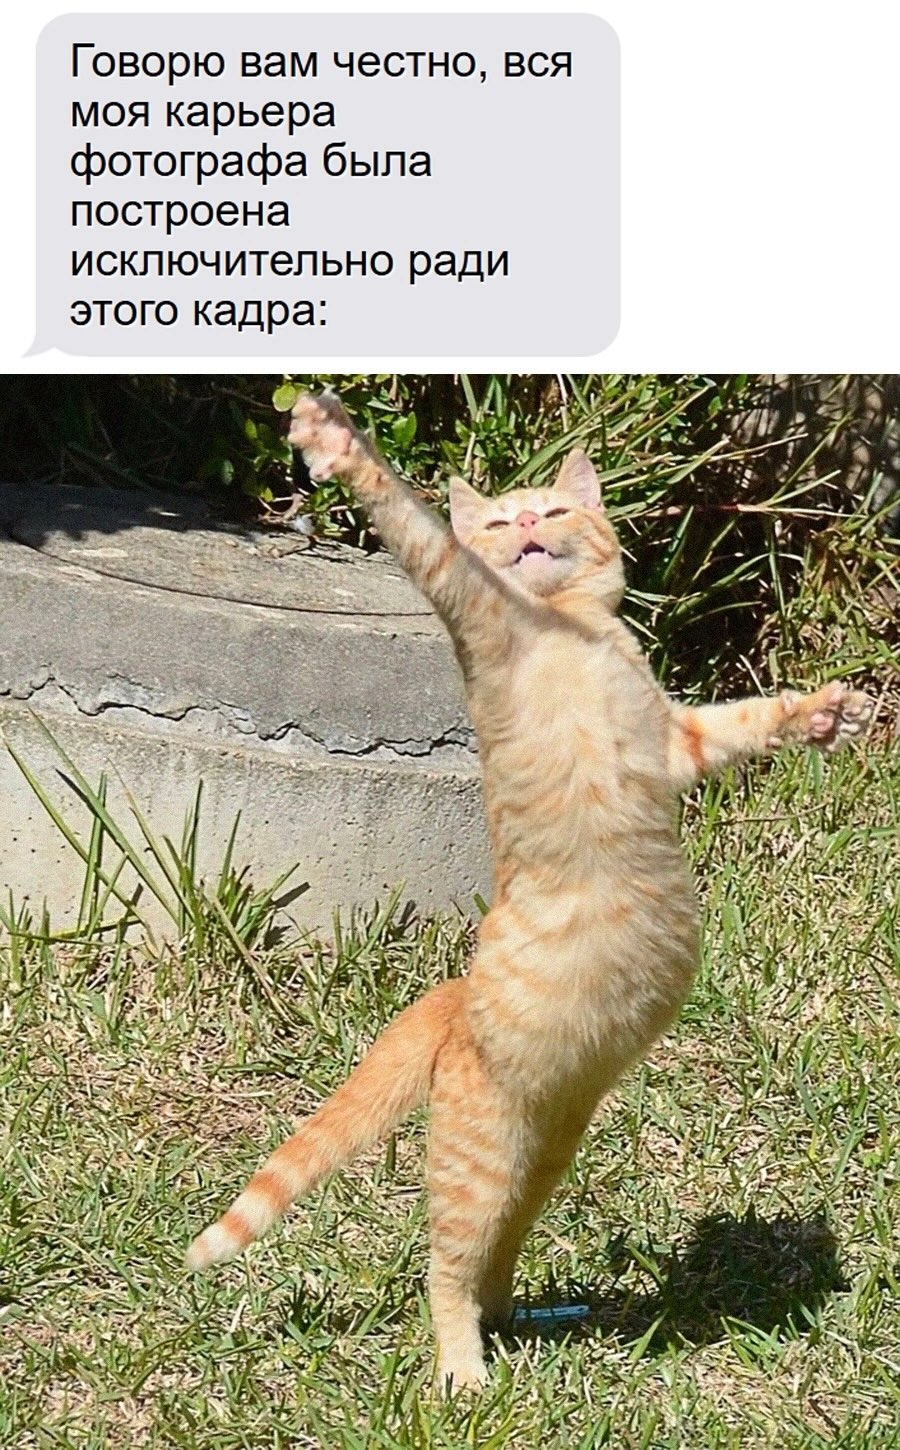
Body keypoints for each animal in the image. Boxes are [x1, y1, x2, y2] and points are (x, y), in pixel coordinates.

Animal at [186, 391, 873, 1390]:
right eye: (500, 523)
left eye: (552, 510)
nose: (529, 533)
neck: (574, 630)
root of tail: (451, 999)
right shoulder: (471, 601)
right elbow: (413, 524)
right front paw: (336, 442)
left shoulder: (678, 741)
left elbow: (748, 720)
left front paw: (824, 713)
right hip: (476, 1163)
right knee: (443, 1268)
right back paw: (463, 1373)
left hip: (544, 1156)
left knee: (495, 1255)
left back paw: (526, 1315)